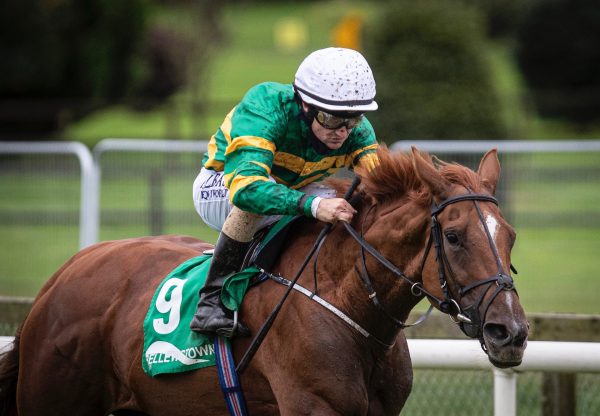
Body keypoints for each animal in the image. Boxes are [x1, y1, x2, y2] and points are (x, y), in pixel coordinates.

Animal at [0, 148, 524, 414]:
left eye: (511, 235)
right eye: (453, 236)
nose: (511, 332)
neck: (347, 302)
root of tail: (59, 279)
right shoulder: (312, 406)